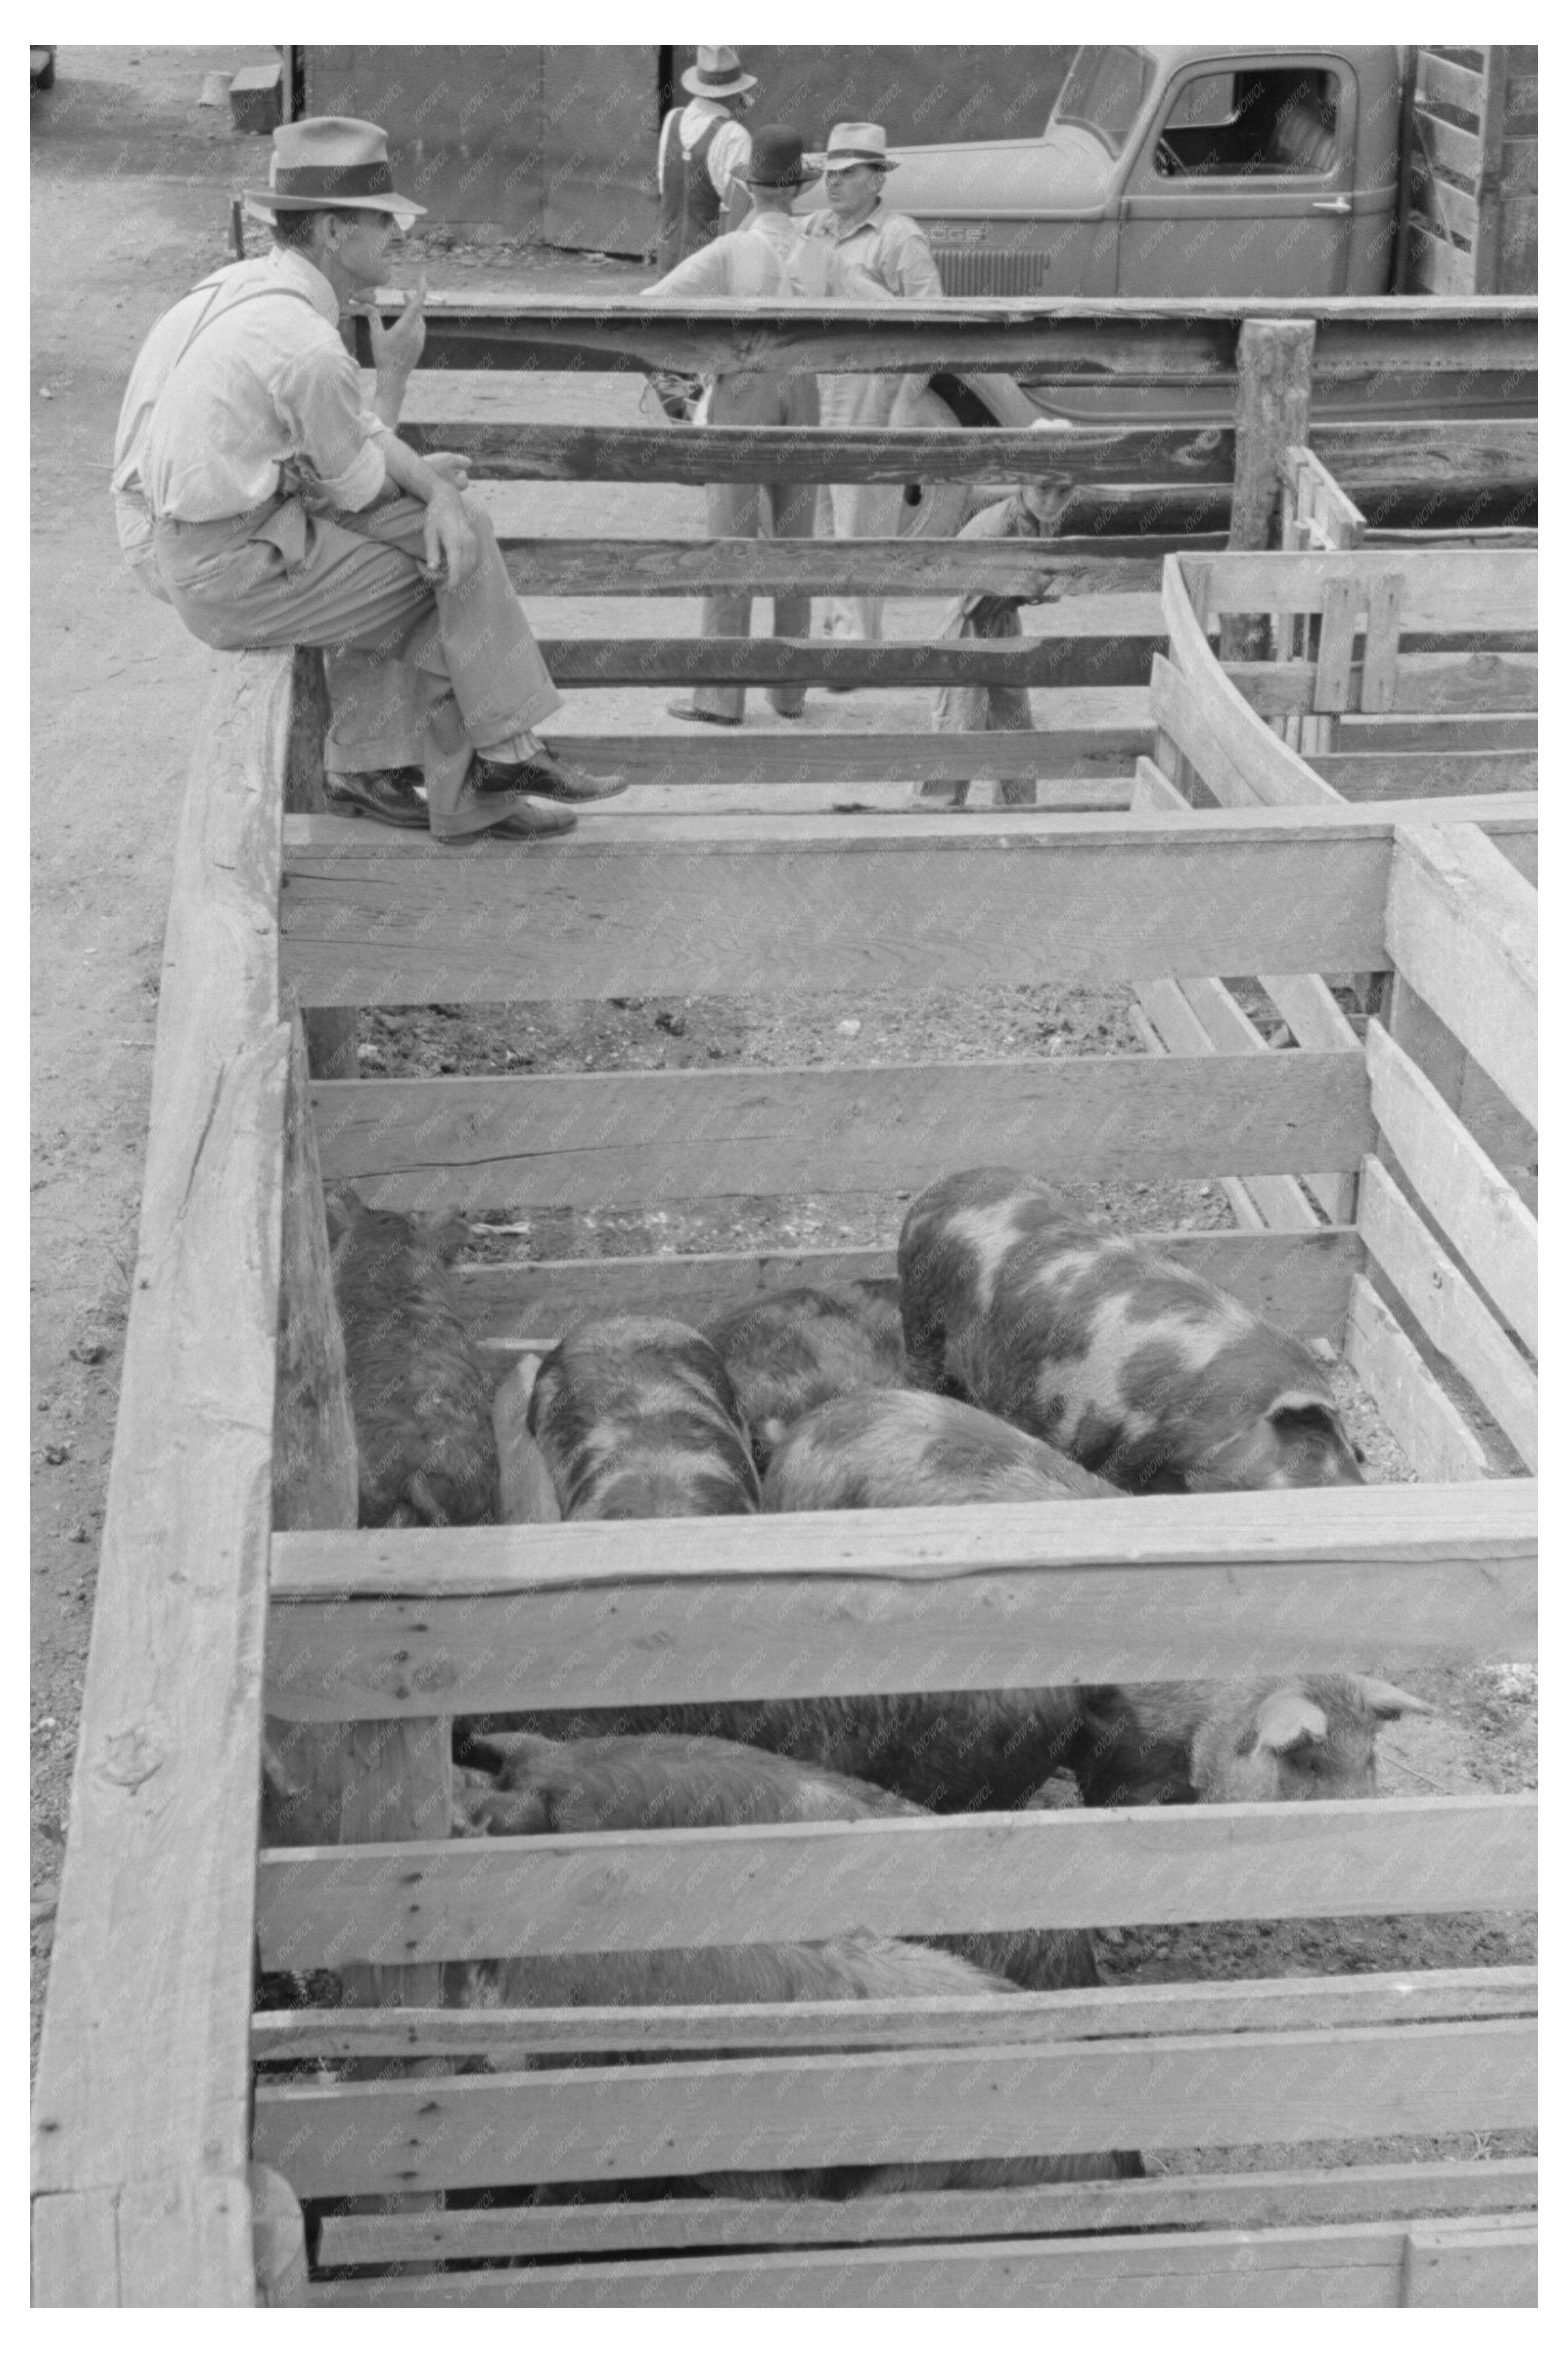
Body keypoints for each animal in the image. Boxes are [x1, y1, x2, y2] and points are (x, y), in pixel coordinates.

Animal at [899, 1166, 1364, 1492]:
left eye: (1353, 1449)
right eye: (1314, 1446)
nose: (1357, 1487)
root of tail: (937, 1190)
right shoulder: (1108, 1446)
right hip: (922, 1322)